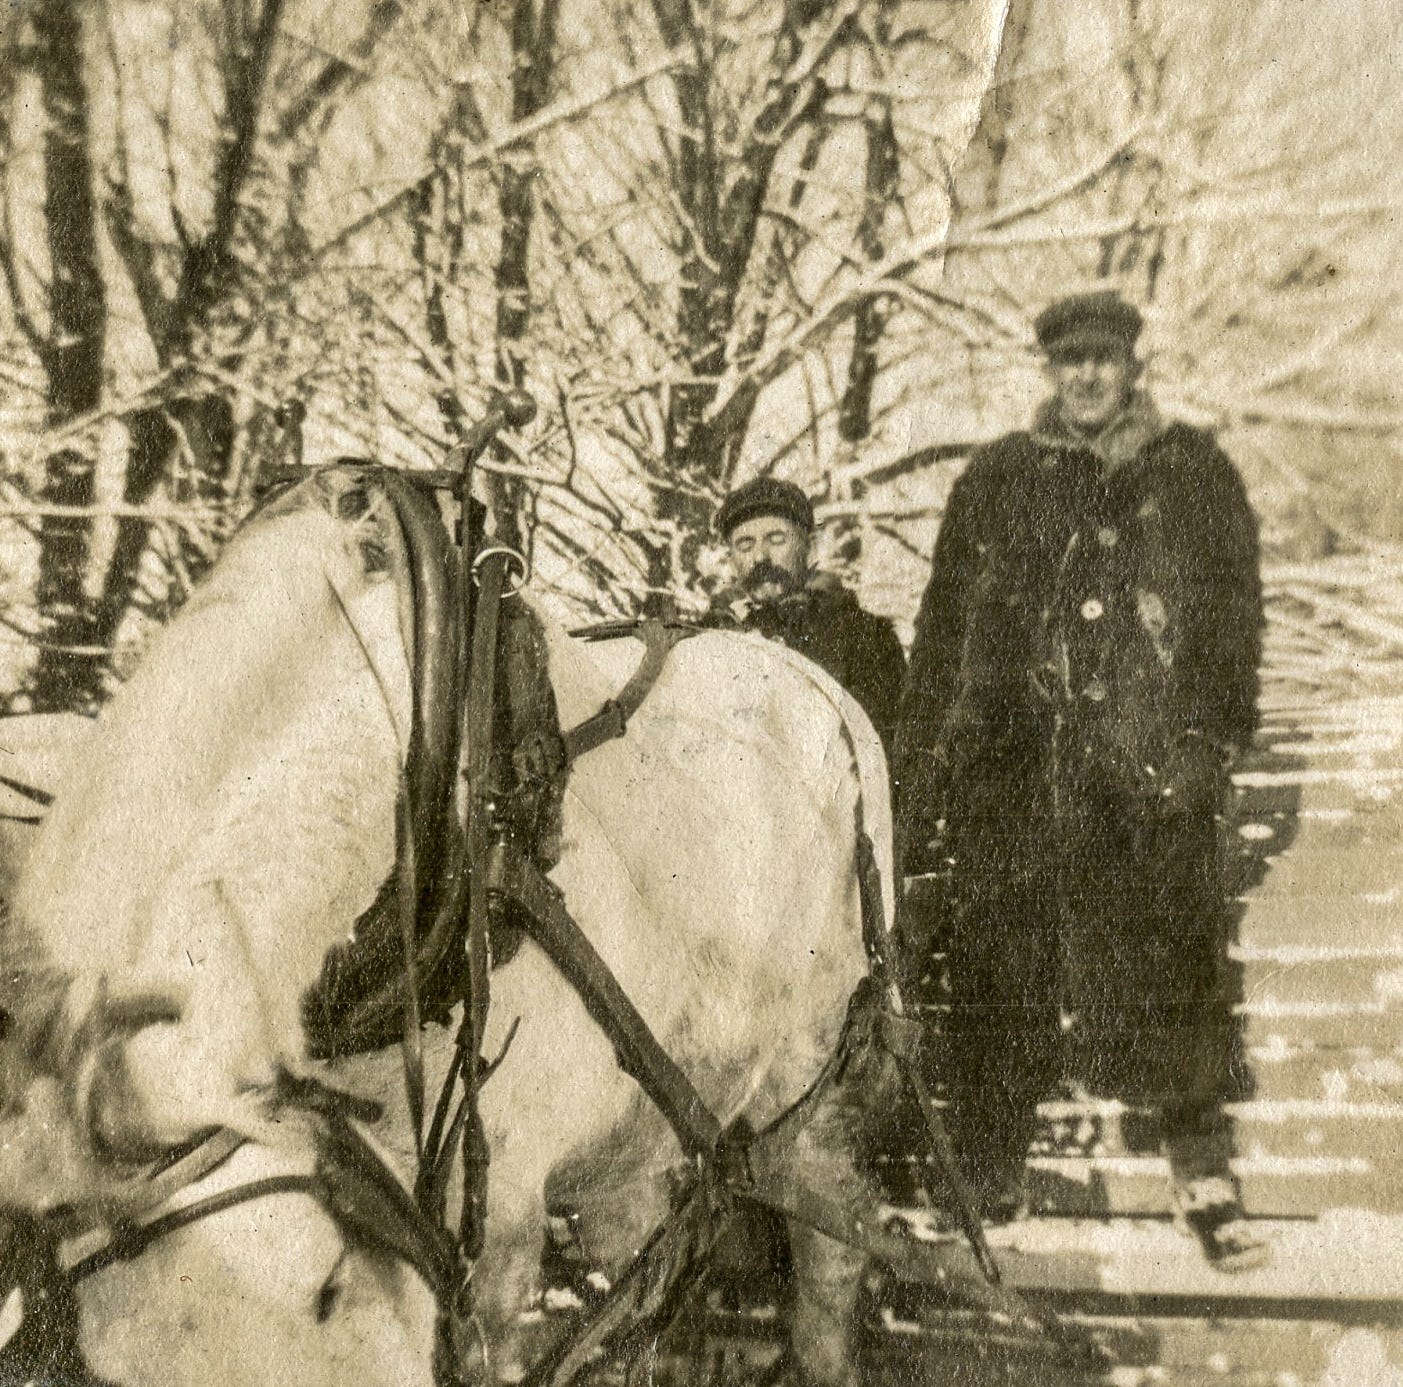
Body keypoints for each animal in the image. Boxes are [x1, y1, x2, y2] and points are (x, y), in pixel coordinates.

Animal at [0, 468, 897, 1385]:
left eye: (324, 1286)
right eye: (109, 1373)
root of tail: (802, 671)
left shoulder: (501, 1212)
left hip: (815, 1084)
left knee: (832, 1246)